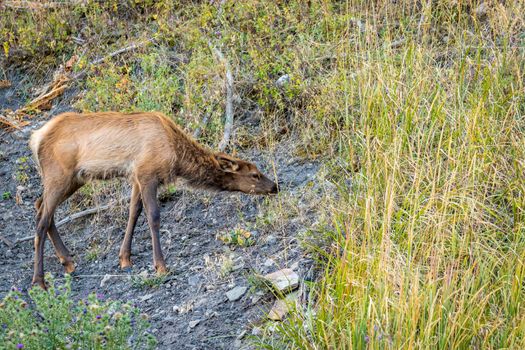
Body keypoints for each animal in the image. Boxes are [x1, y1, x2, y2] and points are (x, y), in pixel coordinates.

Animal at [29, 110, 278, 288]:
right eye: (254, 174)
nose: (275, 186)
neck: (176, 157)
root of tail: (36, 138)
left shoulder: (136, 177)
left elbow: (133, 213)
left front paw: (124, 258)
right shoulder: (147, 174)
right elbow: (153, 216)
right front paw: (160, 265)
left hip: (74, 179)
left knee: (40, 206)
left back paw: (68, 261)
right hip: (59, 174)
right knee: (42, 220)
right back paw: (39, 281)